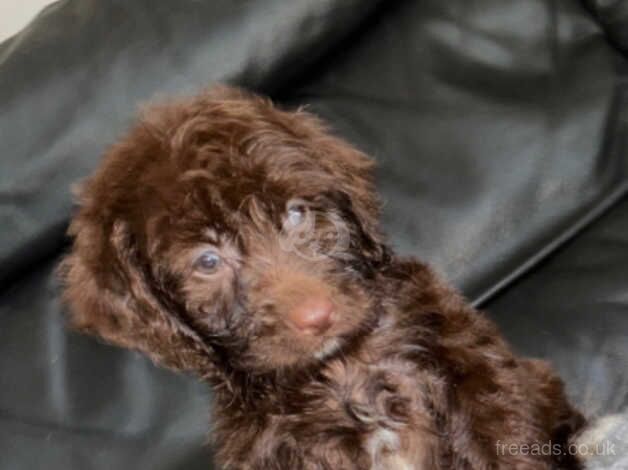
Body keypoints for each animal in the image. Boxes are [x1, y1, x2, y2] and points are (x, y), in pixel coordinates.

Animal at [59, 86, 584, 468]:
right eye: (207, 262)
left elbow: (504, 440)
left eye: (296, 214)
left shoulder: (467, 365)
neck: (341, 369)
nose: (318, 317)